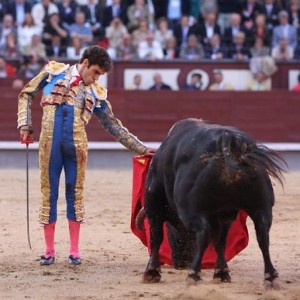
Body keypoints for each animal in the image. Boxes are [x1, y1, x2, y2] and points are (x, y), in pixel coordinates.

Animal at [141, 118, 286, 288]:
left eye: (173, 232)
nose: (182, 261)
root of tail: (228, 138)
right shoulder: (225, 214)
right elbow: (220, 242)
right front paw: (221, 273)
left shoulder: (154, 202)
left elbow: (156, 236)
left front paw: (151, 272)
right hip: (261, 207)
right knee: (263, 235)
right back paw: (270, 277)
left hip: (190, 210)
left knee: (203, 233)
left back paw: (193, 274)